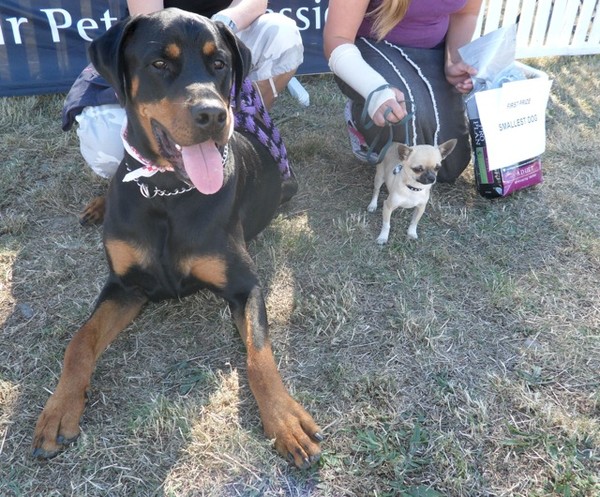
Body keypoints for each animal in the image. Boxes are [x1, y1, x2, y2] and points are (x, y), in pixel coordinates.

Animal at [31, 7, 324, 466]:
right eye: (159, 63)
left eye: (219, 63)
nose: (214, 115)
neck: (167, 192)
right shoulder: (125, 286)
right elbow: (79, 342)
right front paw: (59, 410)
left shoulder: (245, 285)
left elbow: (259, 354)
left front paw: (284, 419)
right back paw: (98, 204)